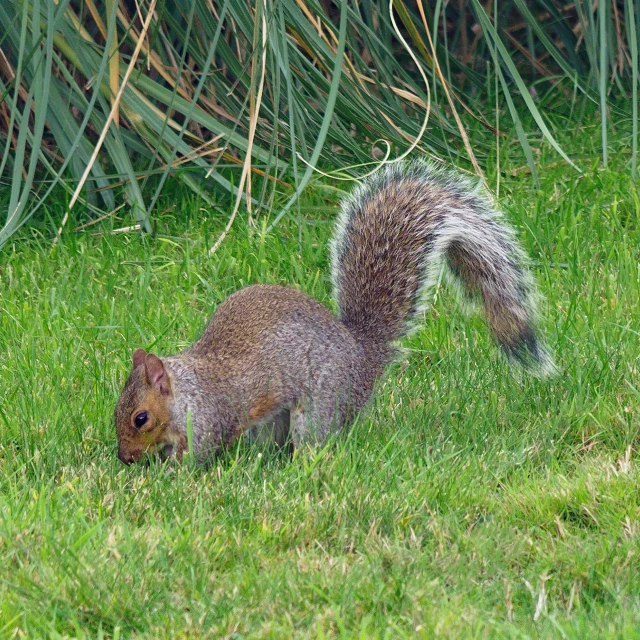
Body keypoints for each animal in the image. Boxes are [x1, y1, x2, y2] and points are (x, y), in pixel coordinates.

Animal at [115, 160, 556, 464]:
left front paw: (170, 474)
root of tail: (363, 354)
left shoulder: (210, 419)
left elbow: (198, 455)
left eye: (140, 418)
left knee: (315, 437)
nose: (125, 458)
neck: (187, 391)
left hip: (319, 404)